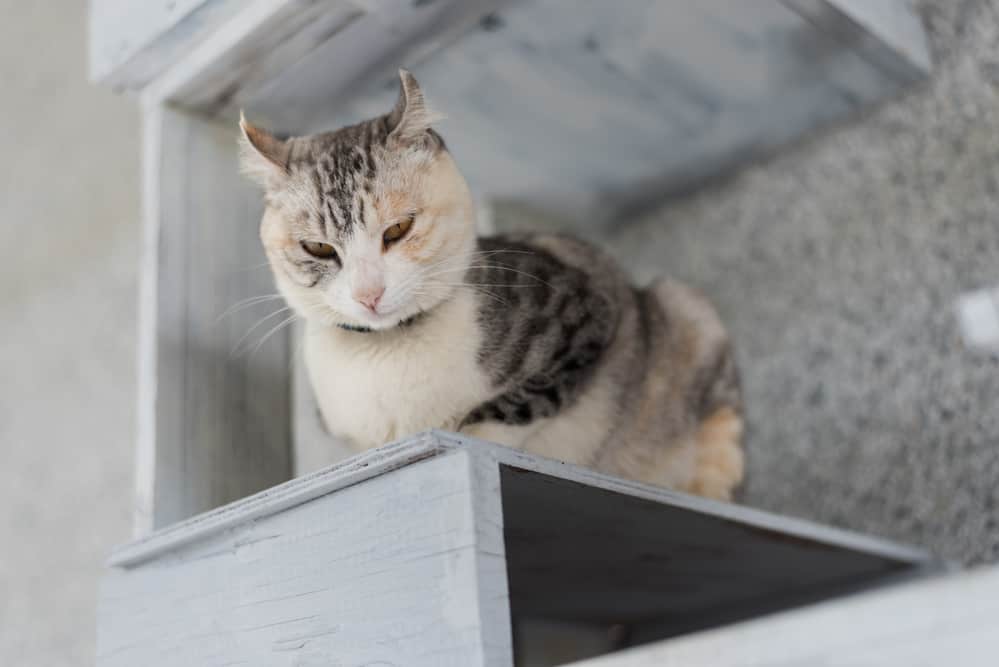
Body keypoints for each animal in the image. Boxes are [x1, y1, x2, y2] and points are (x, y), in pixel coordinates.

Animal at [240, 70, 744, 498]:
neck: (389, 354)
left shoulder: (585, 313)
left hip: (686, 314)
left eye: (398, 229)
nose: (369, 294)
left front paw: (473, 432)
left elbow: (516, 406)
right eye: (319, 248)